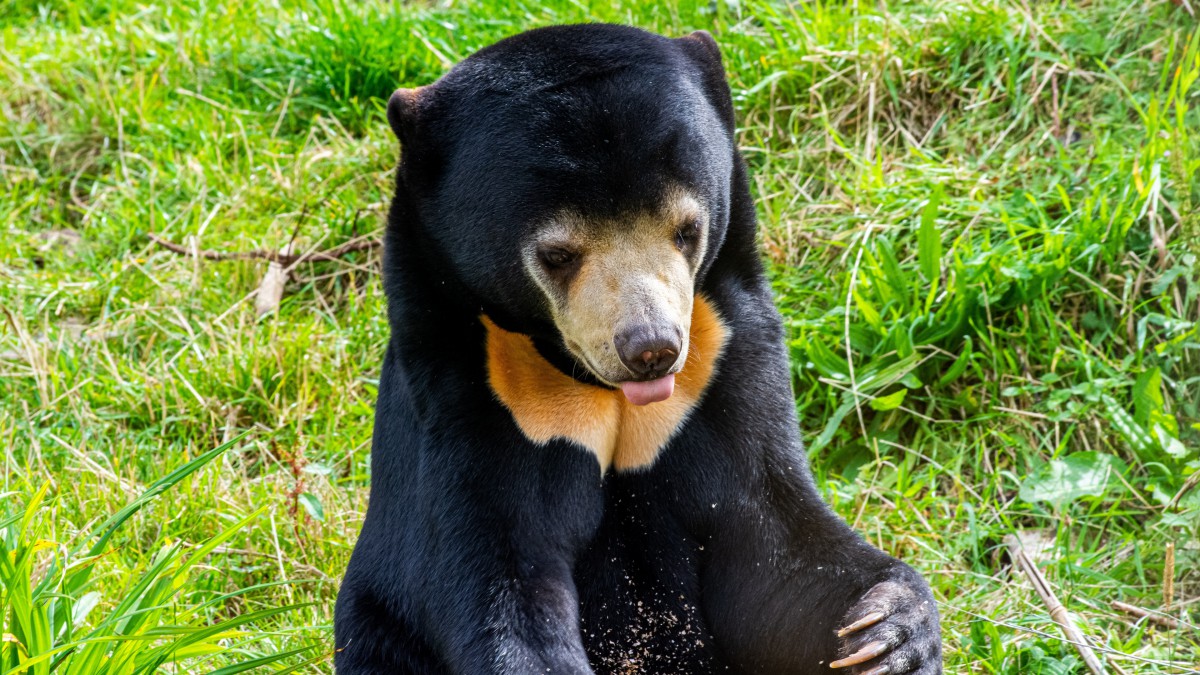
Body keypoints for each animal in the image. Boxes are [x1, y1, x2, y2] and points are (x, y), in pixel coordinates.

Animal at [333, 23, 940, 672]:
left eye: (687, 230)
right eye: (557, 255)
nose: (651, 349)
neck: (594, 386)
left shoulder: (722, 360)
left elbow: (774, 544)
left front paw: (886, 633)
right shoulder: (474, 398)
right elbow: (500, 581)